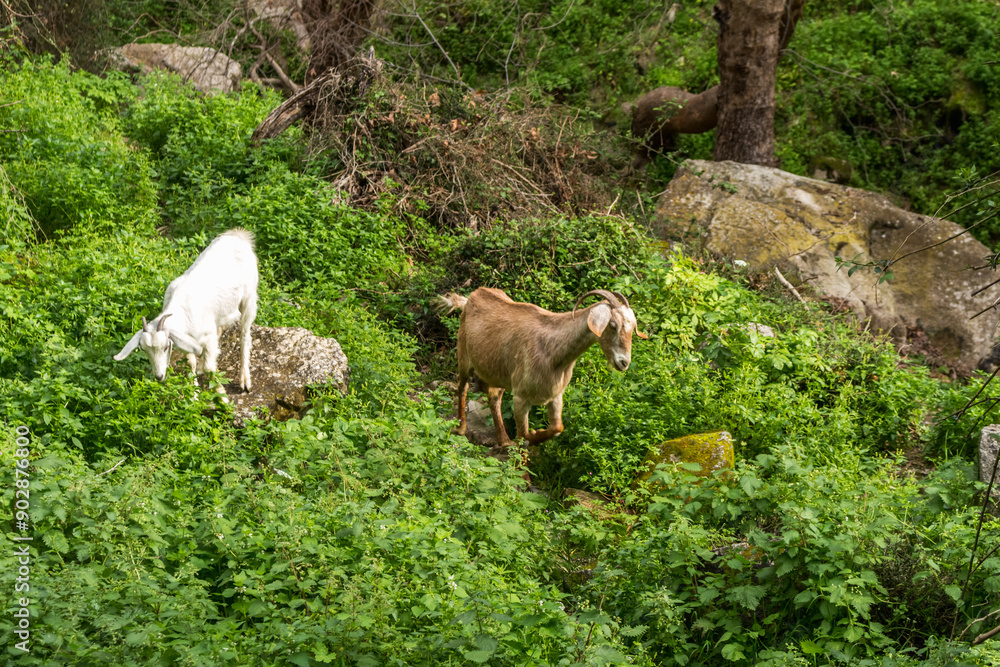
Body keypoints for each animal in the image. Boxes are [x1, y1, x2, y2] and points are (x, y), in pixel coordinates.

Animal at [113, 228, 259, 392]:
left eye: (166, 347)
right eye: (144, 349)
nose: (159, 377)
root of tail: (238, 236)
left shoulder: (208, 337)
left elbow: (209, 367)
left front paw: (221, 393)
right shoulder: (184, 341)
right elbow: (190, 364)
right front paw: (194, 392)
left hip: (249, 299)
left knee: (245, 335)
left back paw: (245, 380)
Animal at [436, 288, 647, 449]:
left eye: (632, 328)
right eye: (612, 324)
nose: (624, 362)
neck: (554, 352)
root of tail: (472, 297)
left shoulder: (555, 396)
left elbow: (557, 428)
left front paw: (538, 434)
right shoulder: (521, 398)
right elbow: (523, 436)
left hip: (498, 372)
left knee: (494, 397)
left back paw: (504, 441)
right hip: (463, 356)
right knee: (462, 387)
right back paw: (461, 428)